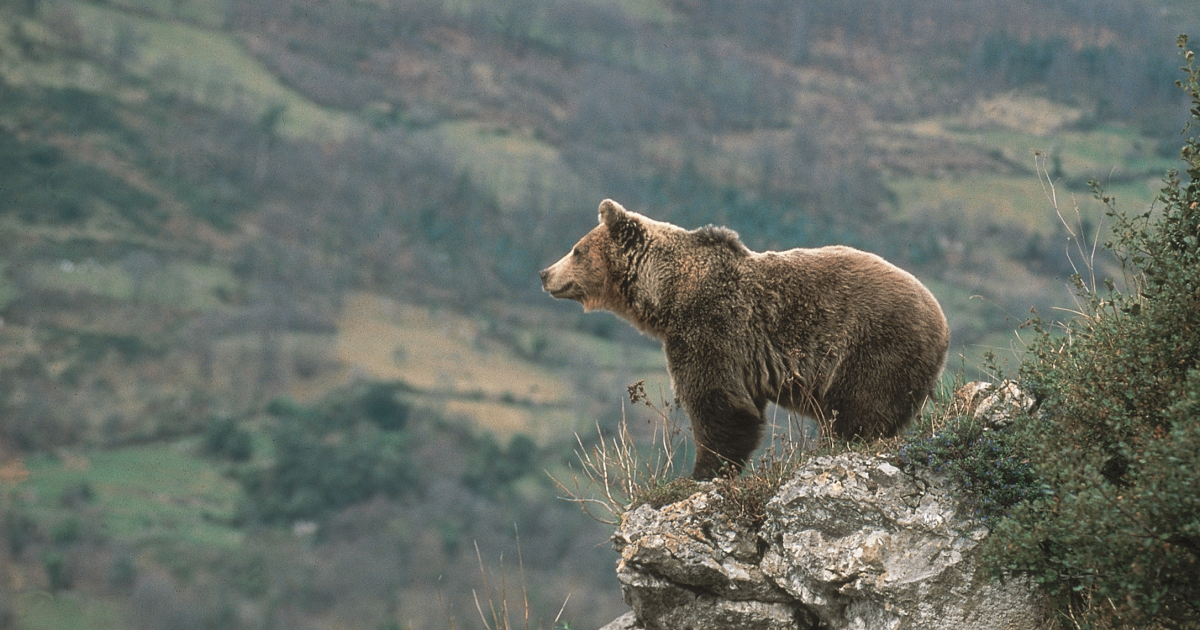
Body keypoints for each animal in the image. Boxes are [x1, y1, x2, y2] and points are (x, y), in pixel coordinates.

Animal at [540, 199, 950, 480]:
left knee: (859, 409)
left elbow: (718, 403)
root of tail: (942, 322)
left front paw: (700, 473)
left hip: (874, 345)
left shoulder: (711, 327)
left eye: (576, 249)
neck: (668, 294)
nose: (544, 273)